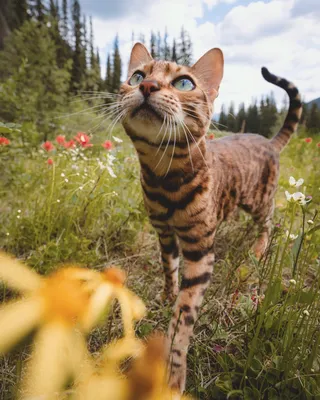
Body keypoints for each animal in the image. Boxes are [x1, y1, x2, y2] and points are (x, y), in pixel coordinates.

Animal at [118, 42, 302, 392]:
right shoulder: (164, 233)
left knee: (268, 224)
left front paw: (173, 372)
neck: (164, 178)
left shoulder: (200, 250)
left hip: (260, 201)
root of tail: (268, 140)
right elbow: (168, 269)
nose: (148, 86)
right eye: (136, 76)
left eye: (183, 83)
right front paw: (166, 295)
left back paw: (259, 248)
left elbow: (184, 315)